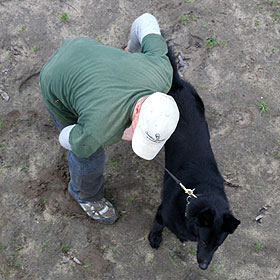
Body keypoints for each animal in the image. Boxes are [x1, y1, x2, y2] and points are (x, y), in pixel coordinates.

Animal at [149, 49, 241, 270]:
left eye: (217, 245)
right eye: (205, 241)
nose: (204, 267)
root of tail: (178, 83)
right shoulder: (161, 213)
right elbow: (157, 226)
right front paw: (154, 239)